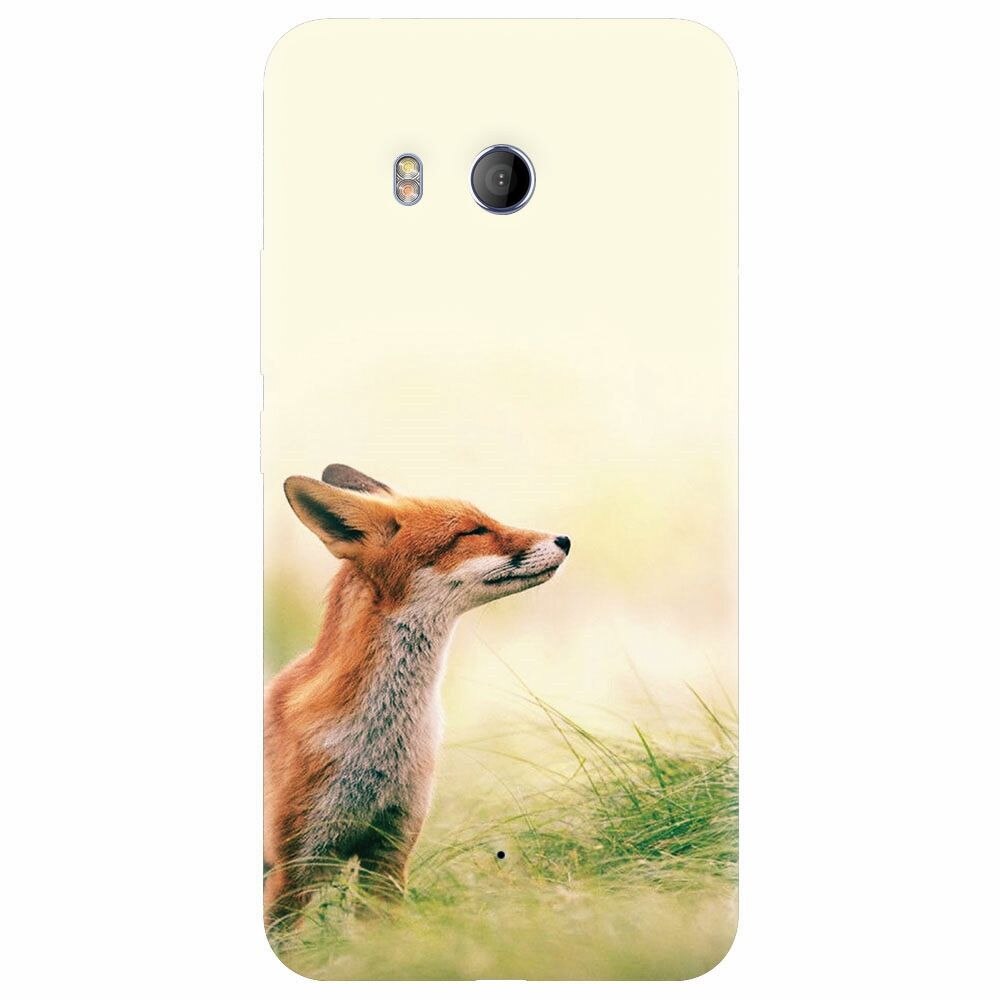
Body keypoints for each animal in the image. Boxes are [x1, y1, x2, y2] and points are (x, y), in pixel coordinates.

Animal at [264, 463, 570, 928]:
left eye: (487, 520)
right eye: (473, 531)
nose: (565, 540)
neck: (379, 745)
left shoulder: (391, 850)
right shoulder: (294, 867)